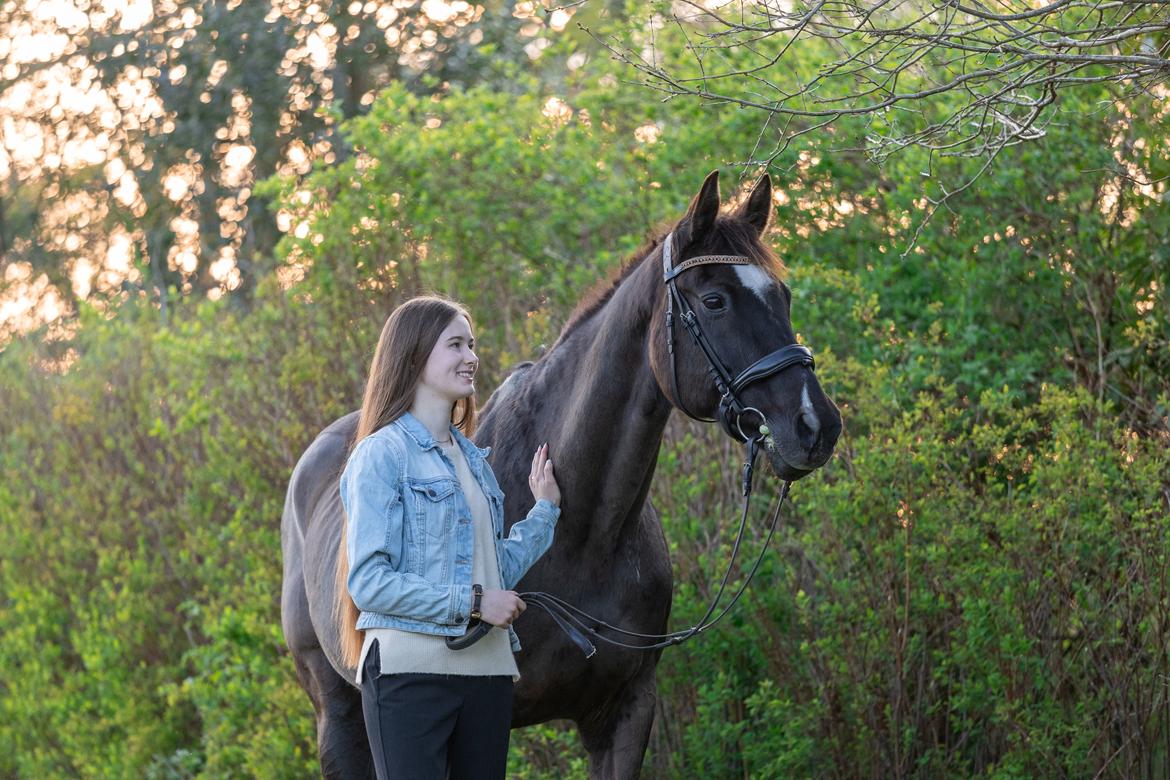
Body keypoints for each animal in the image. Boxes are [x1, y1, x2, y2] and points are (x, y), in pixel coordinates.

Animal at [278, 171, 837, 780]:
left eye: (782, 295)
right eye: (714, 301)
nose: (816, 425)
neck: (587, 534)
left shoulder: (625, 713)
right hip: (337, 710)